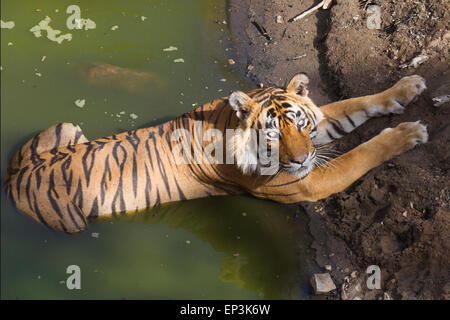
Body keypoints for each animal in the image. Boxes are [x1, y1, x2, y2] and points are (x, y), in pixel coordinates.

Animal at [4, 73, 428, 232]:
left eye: (300, 124)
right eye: (271, 135)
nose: (300, 160)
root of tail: (12, 178)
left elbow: (353, 104)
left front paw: (407, 88)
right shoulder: (303, 183)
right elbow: (360, 154)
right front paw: (408, 132)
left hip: (66, 127)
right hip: (71, 220)